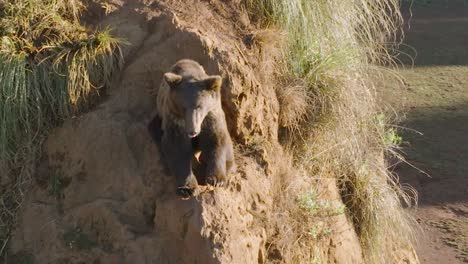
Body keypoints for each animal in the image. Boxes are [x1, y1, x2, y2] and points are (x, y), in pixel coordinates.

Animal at [152, 58, 236, 199]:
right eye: (183, 107)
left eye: (199, 106)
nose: (192, 131)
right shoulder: (174, 118)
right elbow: (177, 148)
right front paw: (187, 188)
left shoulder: (211, 114)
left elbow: (216, 139)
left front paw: (216, 179)